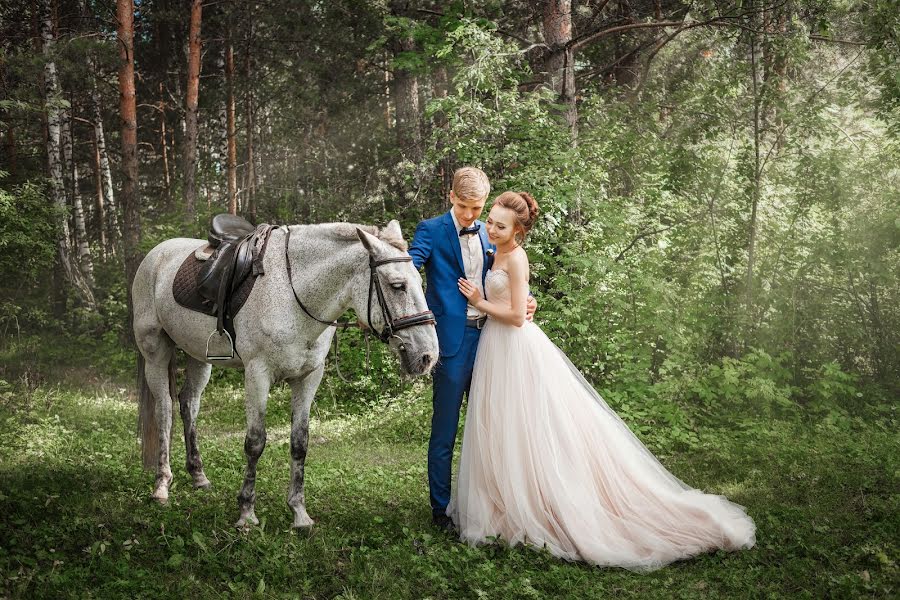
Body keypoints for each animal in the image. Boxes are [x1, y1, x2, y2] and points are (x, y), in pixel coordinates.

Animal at [133, 221, 440, 528]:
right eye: (397, 286)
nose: (428, 356)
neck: (295, 294)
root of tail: (156, 254)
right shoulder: (257, 375)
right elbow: (255, 442)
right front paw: (246, 513)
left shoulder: (308, 378)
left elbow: (299, 443)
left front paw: (299, 513)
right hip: (155, 353)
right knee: (165, 410)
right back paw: (162, 485)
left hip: (199, 357)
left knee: (189, 405)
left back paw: (198, 475)